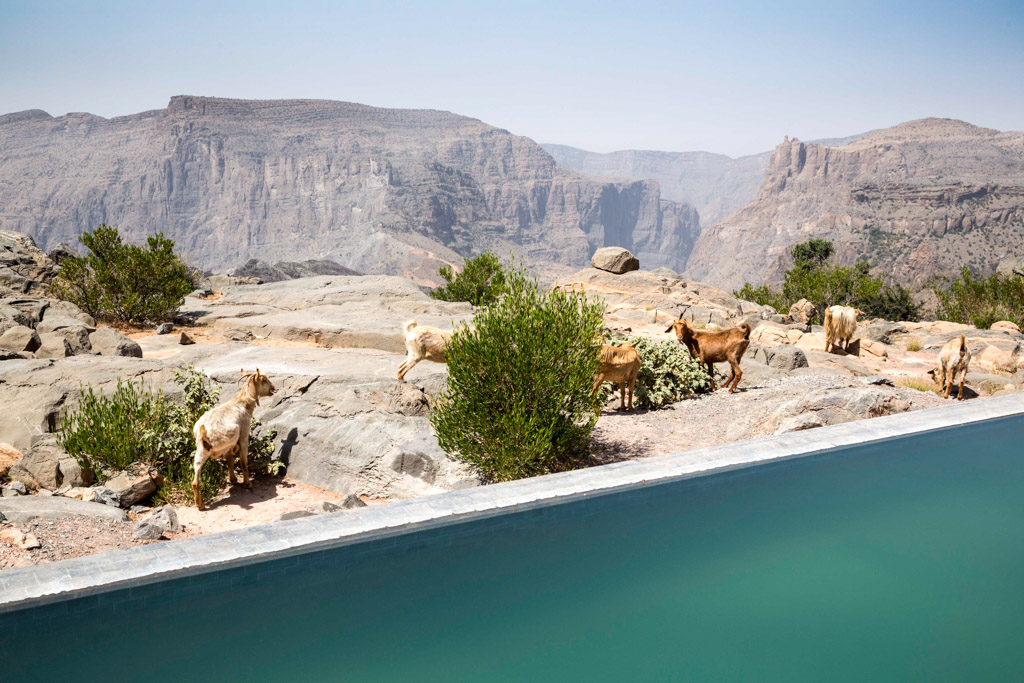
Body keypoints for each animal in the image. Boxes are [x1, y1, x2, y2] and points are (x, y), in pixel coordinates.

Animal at [191, 370, 276, 509]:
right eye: (264, 379)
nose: (273, 388)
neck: (242, 404)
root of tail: (204, 434)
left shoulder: (228, 448)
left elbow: (230, 461)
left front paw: (233, 480)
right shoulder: (244, 435)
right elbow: (243, 462)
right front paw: (247, 483)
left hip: (200, 452)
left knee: (195, 480)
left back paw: (200, 505)